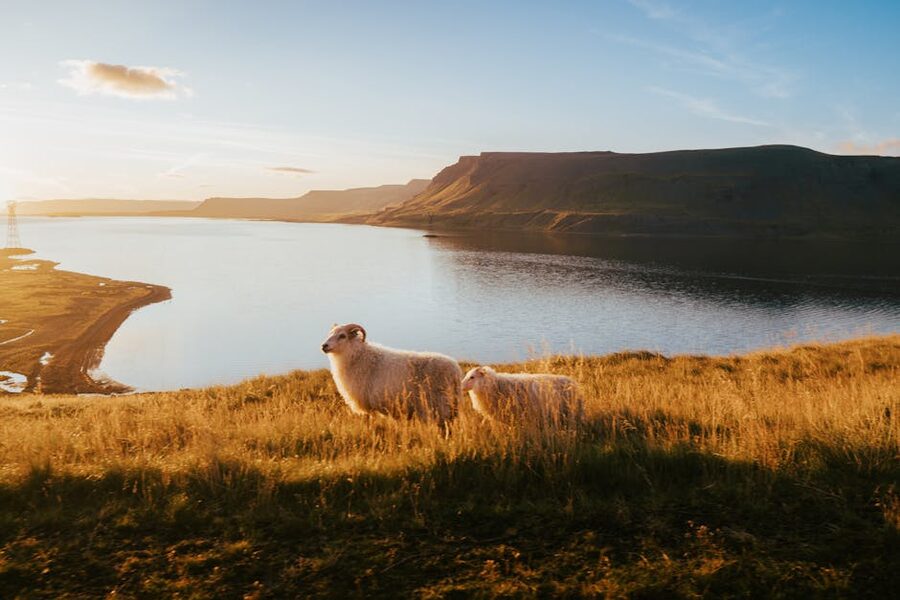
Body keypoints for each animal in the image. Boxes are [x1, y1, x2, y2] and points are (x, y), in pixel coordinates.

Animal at [321, 323, 462, 425]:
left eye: (342, 336)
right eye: (330, 334)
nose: (324, 346)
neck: (357, 356)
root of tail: (455, 370)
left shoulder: (368, 407)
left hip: (439, 405)